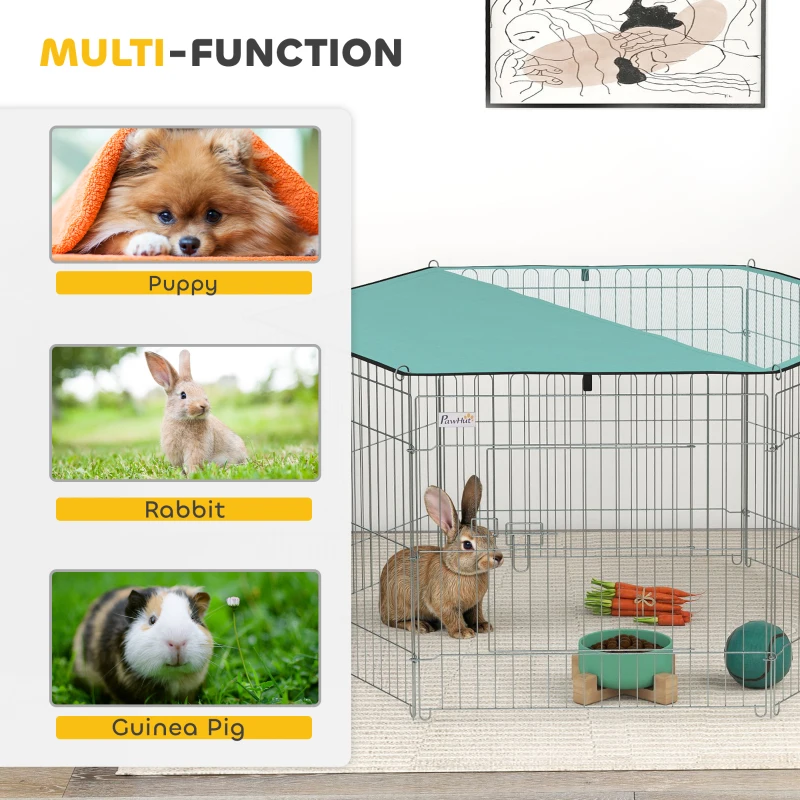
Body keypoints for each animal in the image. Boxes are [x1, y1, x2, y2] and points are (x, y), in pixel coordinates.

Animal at [379, 475, 504, 639]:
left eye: (490, 536)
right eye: (467, 545)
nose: (498, 557)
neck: (457, 571)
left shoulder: (475, 604)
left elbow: (475, 614)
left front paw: (483, 626)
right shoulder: (443, 603)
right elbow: (452, 617)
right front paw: (463, 632)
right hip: (401, 600)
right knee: (392, 621)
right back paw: (420, 625)